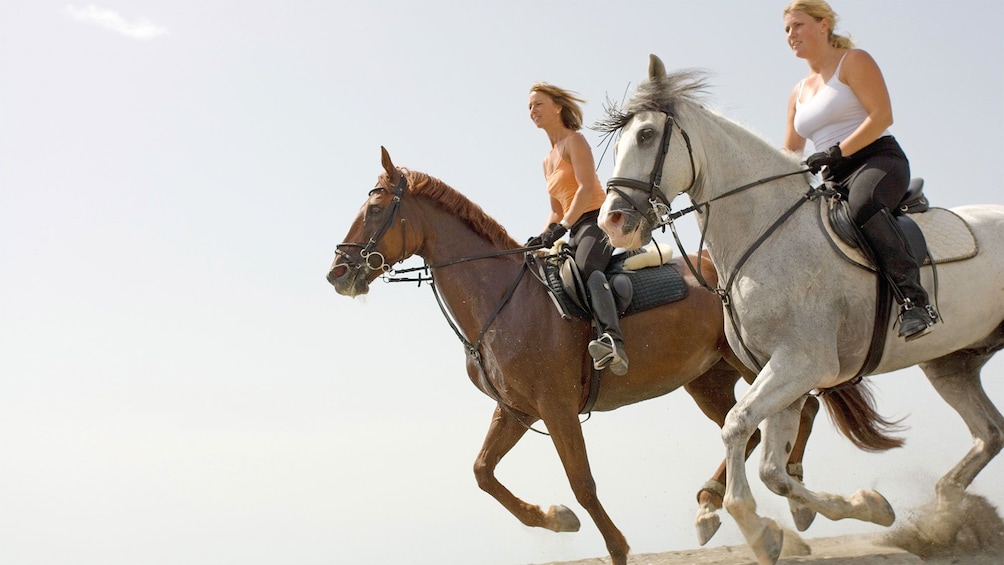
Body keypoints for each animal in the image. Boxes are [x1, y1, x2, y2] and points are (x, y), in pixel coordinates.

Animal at [325, 148, 819, 561]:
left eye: (374, 209)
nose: (337, 273)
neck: (503, 299)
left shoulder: (557, 407)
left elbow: (582, 482)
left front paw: (615, 546)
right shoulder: (518, 410)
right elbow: (483, 472)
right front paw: (555, 518)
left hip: (756, 362)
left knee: (802, 408)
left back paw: (791, 496)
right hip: (708, 379)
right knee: (758, 427)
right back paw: (721, 508)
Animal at [594, 54, 1003, 565]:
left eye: (647, 135)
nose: (612, 221)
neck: (766, 232)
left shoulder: (801, 364)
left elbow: (737, 426)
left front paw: (756, 529)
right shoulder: (780, 371)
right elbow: (772, 468)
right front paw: (869, 507)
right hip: (952, 364)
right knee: (989, 433)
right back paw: (948, 514)